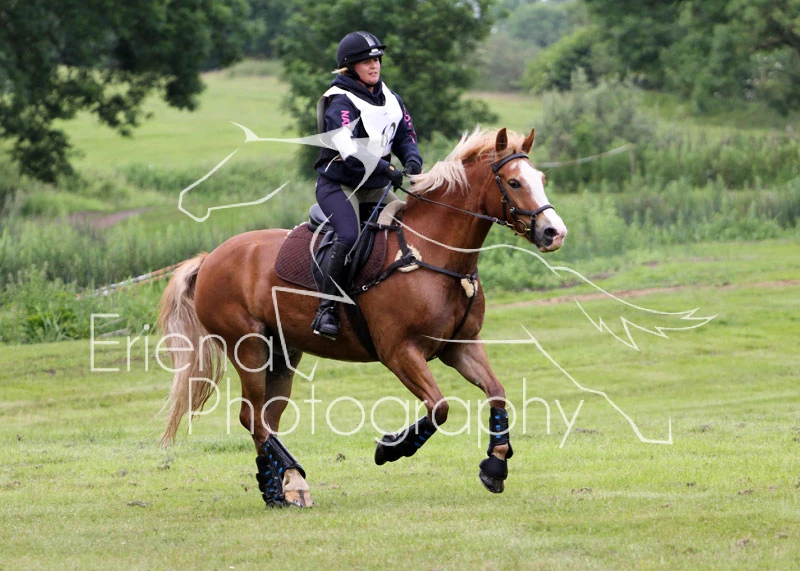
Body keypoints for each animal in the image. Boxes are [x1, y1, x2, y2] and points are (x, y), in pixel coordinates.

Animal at [158, 127, 568, 507]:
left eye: (541, 179)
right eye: (514, 182)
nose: (554, 232)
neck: (433, 253)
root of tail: (210, 258)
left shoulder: (460, 346)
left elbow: (497, 393)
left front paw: (495, 465)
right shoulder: (399, 352)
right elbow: (439, 407)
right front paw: (392, 448)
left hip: (283, 353)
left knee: (266, 418)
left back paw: (280, 489)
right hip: (249, 349)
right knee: (253, 417)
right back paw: (293, 479)